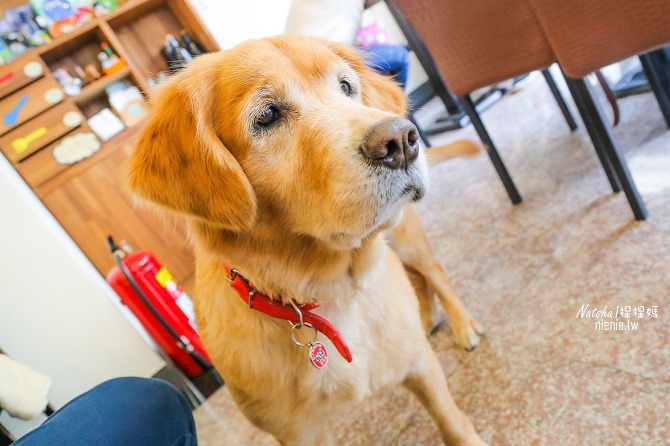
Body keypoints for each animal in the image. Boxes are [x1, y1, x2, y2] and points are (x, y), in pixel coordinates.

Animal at [129, 35, 486, 446]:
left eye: (346, 87)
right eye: (267, 116)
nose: (400, 139)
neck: (329, 289)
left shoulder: (420, 364)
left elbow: (453, 424)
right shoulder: (295, 433)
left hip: (405, 237)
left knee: (433, 271)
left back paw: (462, 324)